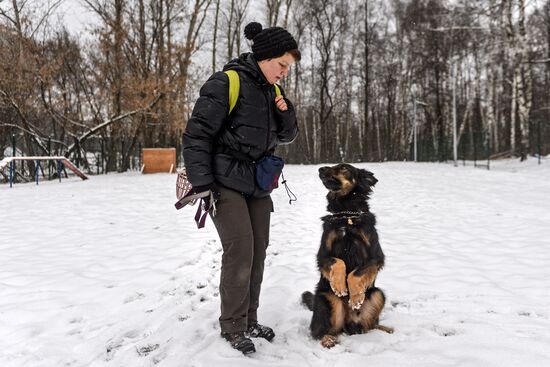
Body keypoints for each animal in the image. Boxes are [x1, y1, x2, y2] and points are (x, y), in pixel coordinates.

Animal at [304, 163, 394, 348]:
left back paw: (384, 328)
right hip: (325, 300)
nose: (320, 169)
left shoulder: (376, 256)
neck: (346, 215)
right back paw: (327, 338)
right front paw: (340, 285)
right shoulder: (322, 255)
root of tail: (350, 324)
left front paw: (355, 296)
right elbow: (338, 262)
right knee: (318, 331)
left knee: (370, 326)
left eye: (344, 168)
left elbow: (356, 273)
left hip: (378, 294)